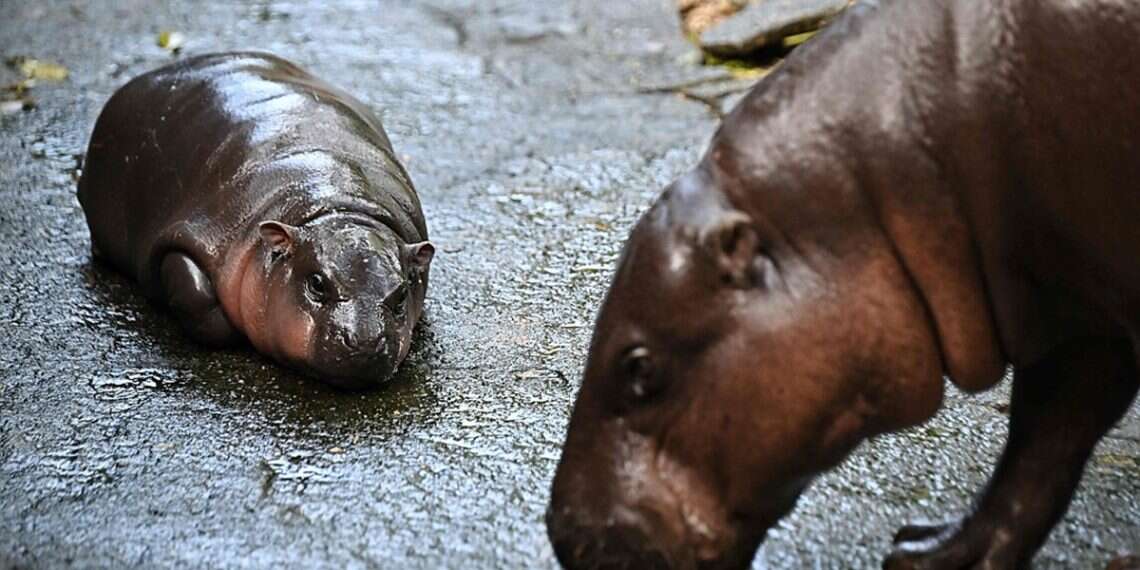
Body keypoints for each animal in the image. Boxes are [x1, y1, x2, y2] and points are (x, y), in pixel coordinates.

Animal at [77, 52, 433, 388]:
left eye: (402, 294)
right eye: (317, 283)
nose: (364, 341)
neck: (340, 208)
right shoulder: (200, 234)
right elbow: (195, 294)